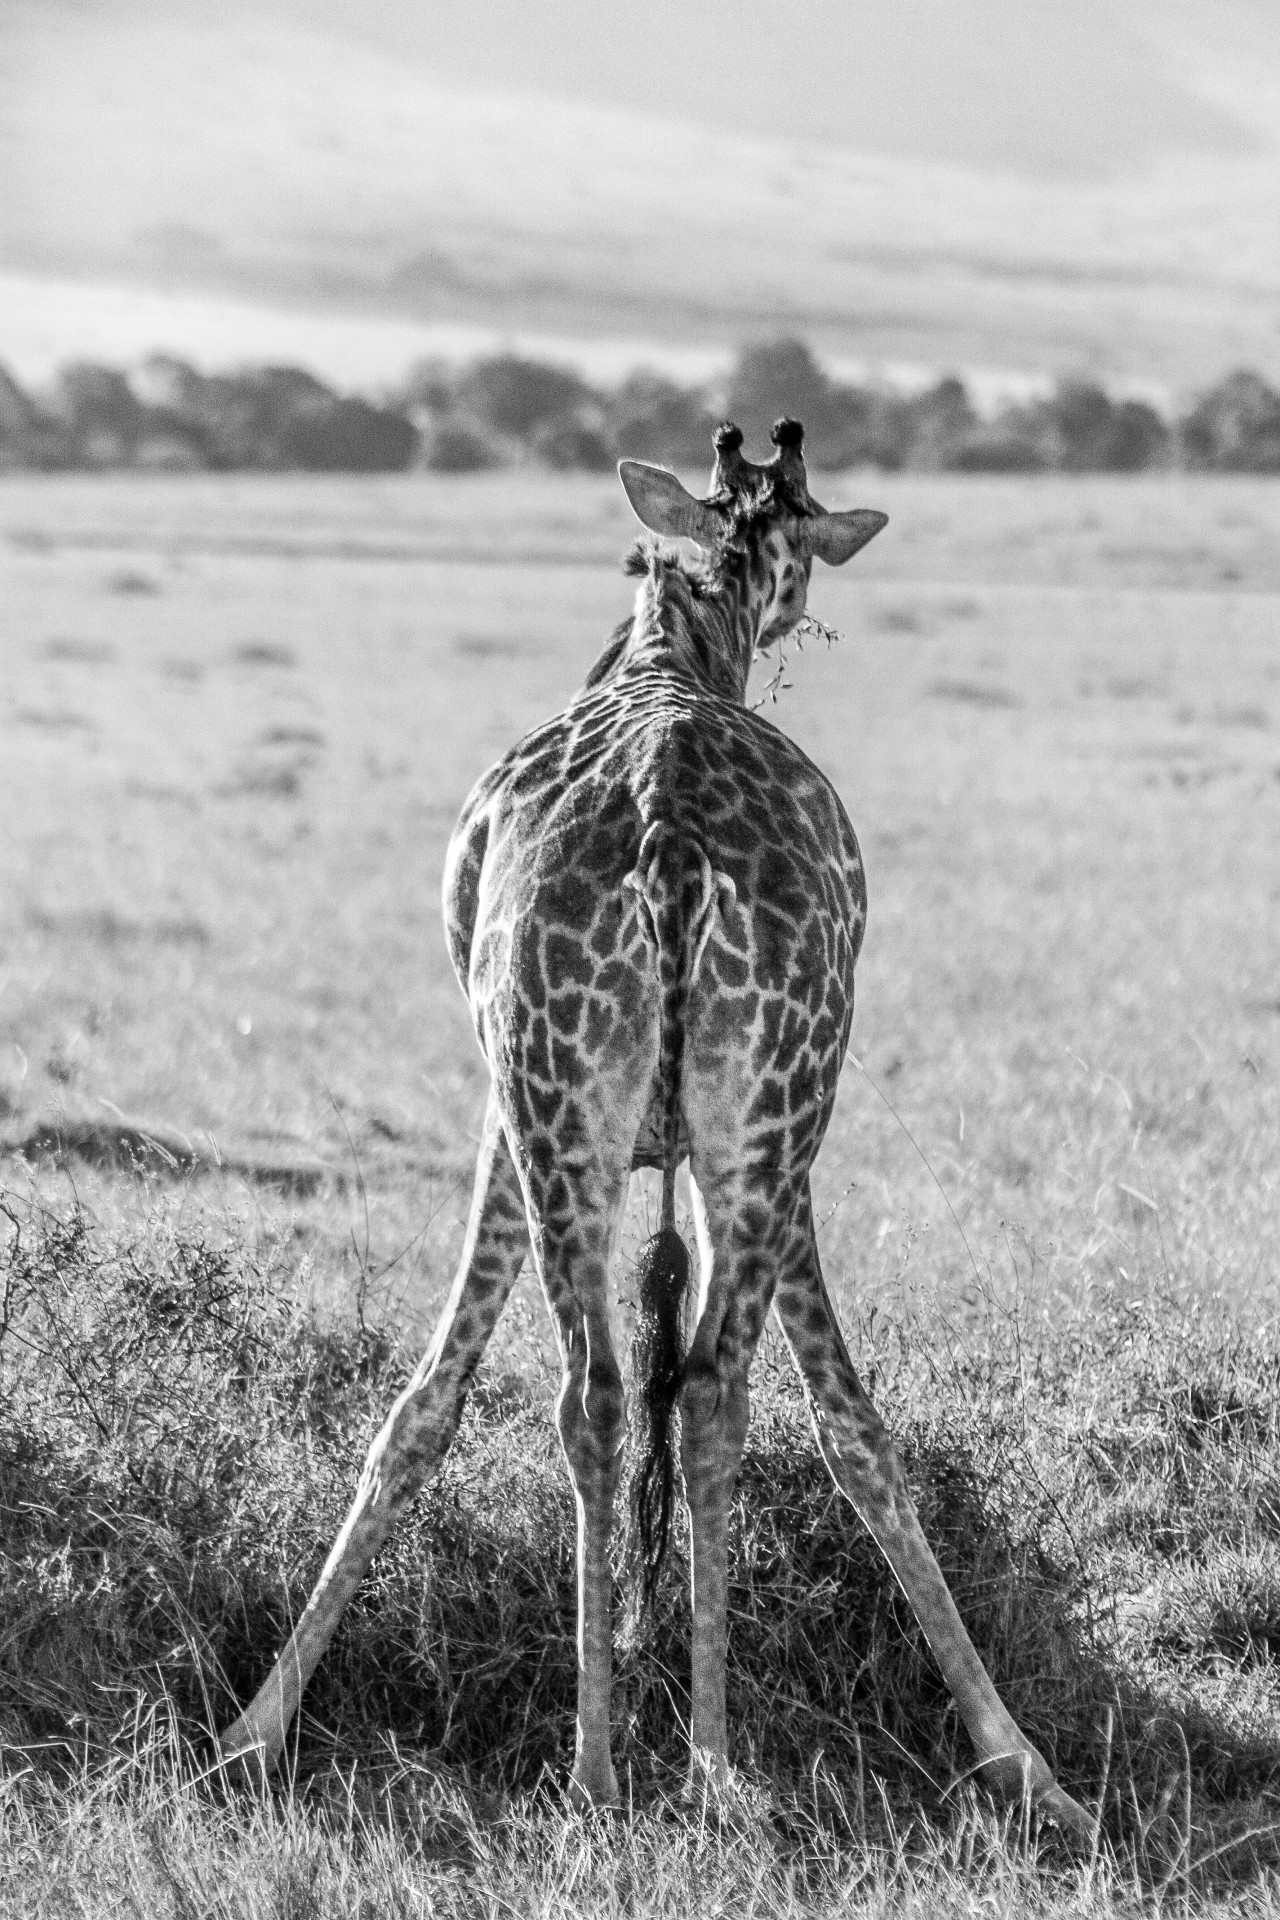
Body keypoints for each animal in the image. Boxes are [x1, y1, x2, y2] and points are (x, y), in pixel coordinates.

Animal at [219, 418, 1090, 1839]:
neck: (666, 652)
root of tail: (671, 841)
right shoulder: (668, 1133)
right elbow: (830, 1420)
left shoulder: (546, 1117)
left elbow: (441, 1397)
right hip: (732, 1116)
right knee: (700, 1394)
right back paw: (696, 1765)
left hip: (580, 1111)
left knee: (613, 1395)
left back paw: (618, 1768)